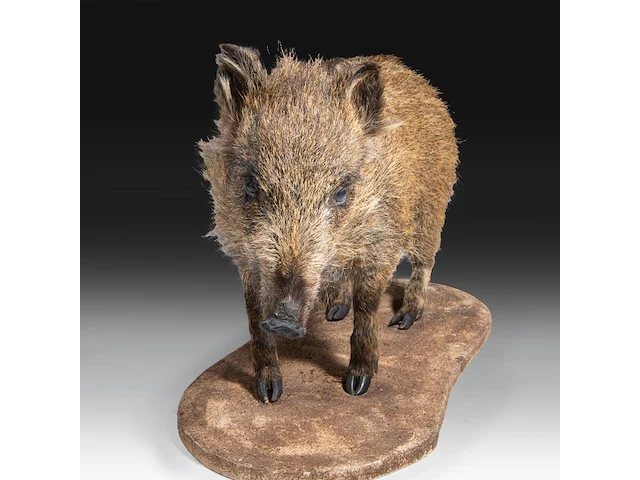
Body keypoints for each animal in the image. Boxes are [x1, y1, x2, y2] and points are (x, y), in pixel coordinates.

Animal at [198, 44, 459, 403]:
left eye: (340, 192)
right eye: (251, 184)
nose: (284, 322)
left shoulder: (382, 243)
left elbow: (367, 306)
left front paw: (358, 385)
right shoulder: (244, 254)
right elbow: (253, 314)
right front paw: (269, 394)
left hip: (433, 206)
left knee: (425, 260)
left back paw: (405, 318)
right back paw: (334, 312)